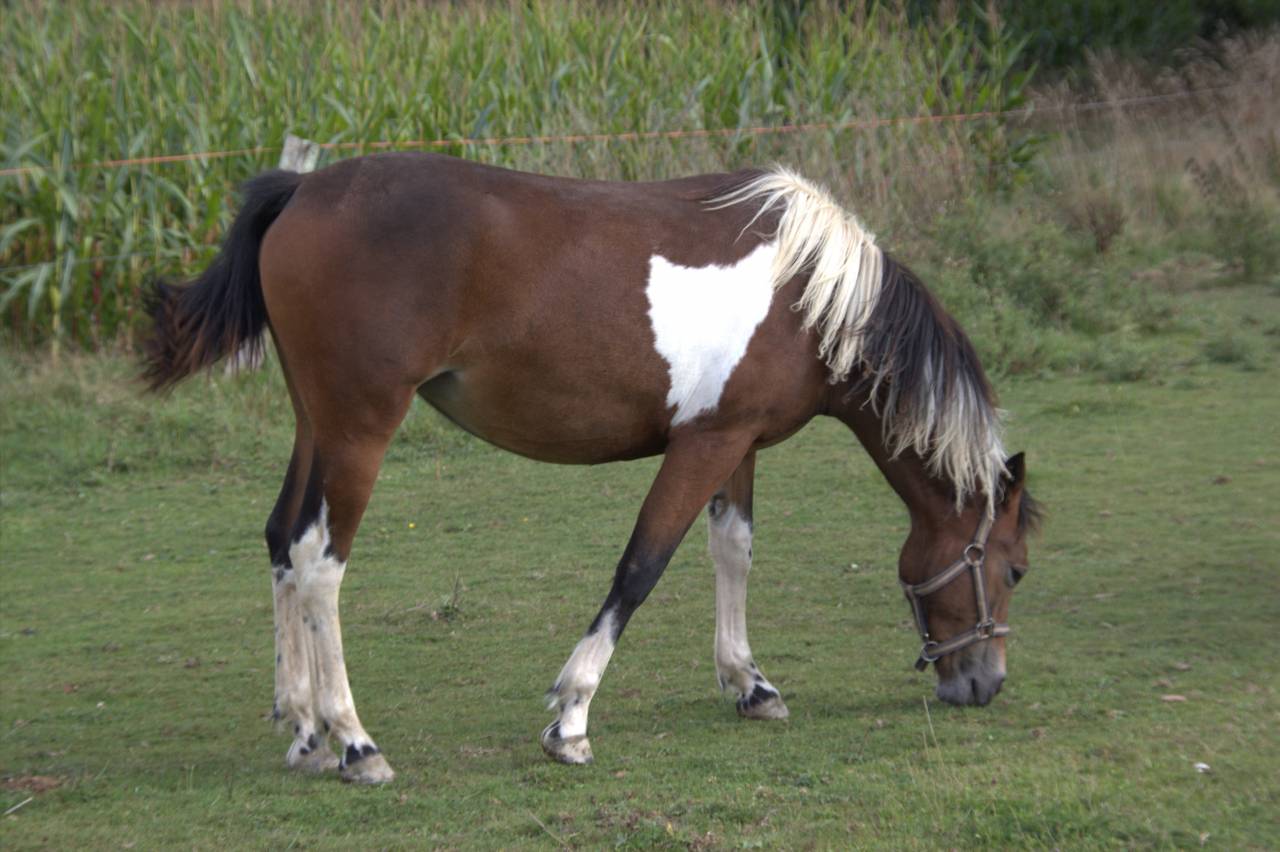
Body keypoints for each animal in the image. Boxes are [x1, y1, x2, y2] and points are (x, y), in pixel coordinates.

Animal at [143, 153, 1038, 785]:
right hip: (359, 428)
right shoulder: (704, 444)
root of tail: (302, 190)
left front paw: (749, 685)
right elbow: (641, 566)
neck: (808, 293)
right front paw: (570, 719)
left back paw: (306, 732)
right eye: (1015, 569)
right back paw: (355, 741)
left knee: (282, 543)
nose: (986, 684)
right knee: (319, 564)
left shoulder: (737, 441)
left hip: (315, 424)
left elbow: (733, 551)